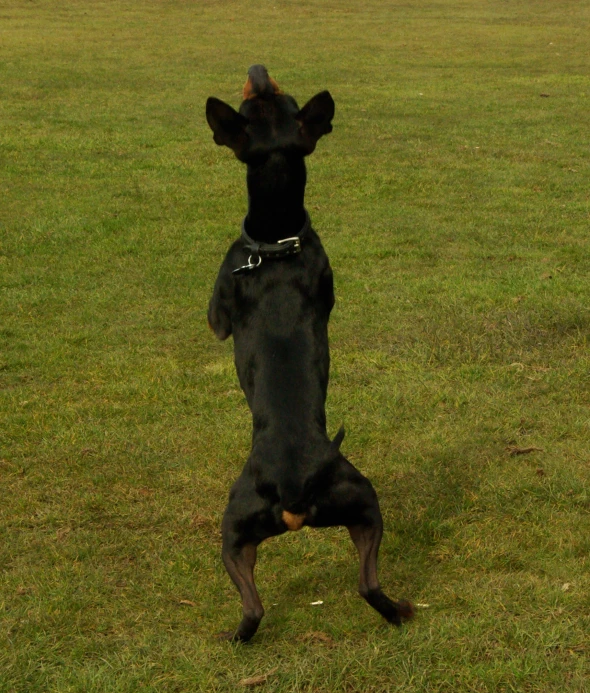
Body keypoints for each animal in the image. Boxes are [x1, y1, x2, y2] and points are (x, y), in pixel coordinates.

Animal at [206, 67, 414, 640]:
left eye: (265, 94)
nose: (257, 70)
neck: (277, 241)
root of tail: (294, 485)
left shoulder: (218, 309)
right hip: (348, 509)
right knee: (357, 586)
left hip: (241, 516)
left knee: (258, 605)